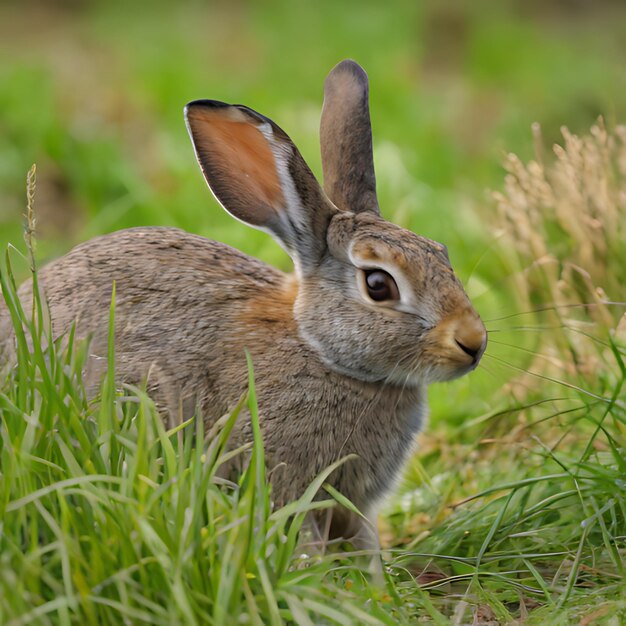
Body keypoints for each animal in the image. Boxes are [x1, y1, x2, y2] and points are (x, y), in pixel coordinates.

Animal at [0, 59, 486, 552]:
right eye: (378, 285)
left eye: (441, 252)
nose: (473, 342)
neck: (322, 351)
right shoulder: (283, 479)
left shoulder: (353, 506)